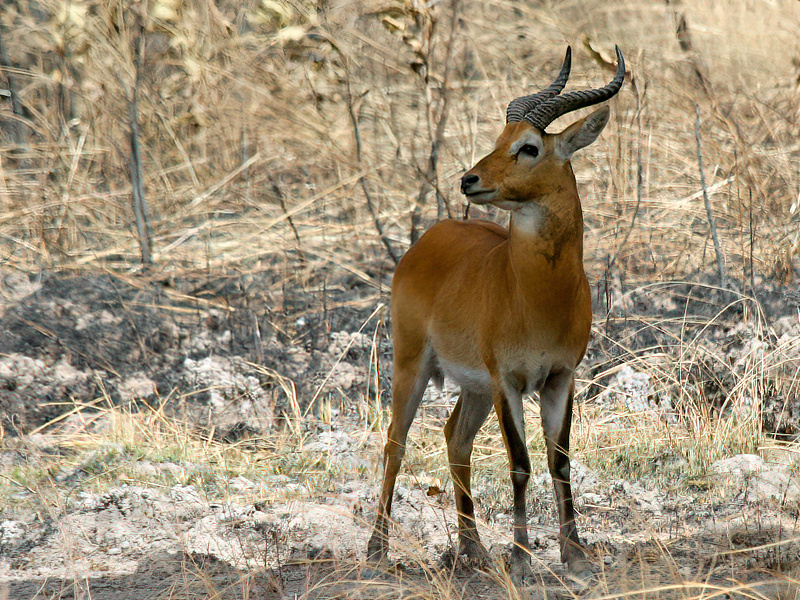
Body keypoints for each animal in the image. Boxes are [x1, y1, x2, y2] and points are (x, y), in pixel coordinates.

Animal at [368, 47, 624, 580]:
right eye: (499, 139)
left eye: (528, 146)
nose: (470, 179)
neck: (537, 297)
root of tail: (430, 236)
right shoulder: (508, 379)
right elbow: (520, 463)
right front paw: (523, 560)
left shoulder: (561, 376)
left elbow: (560, 459)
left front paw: (575, 555)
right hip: (412, 364)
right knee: (395, 441)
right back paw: (376, 548)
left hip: (474, 386)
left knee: (455, 438)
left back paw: (474, 550)